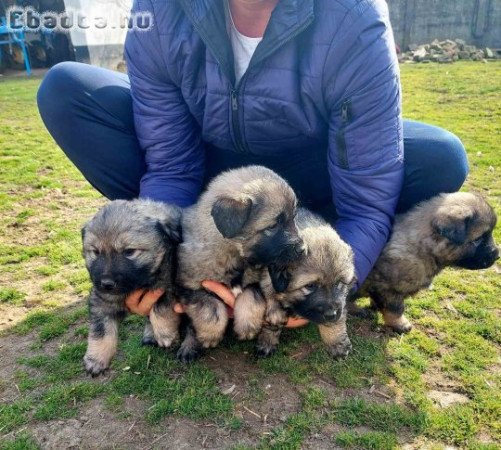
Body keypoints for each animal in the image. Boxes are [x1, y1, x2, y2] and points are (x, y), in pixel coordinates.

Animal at [82, 200, 182, 376]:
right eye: (95, 252)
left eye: (129, 251)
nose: (106, 283)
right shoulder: (101, 302)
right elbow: (100, 331)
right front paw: (96, 358)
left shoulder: (167, 284)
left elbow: (160, 307)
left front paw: (165, 332)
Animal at [168, 165, 302, 362]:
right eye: (272, 226)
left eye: (294, 218)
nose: (303, 248)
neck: (235, 256)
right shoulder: (188, 286)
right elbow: (209, 307)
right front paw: (210, 335)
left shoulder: (257, 279)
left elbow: (252, 295)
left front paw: (248, 326)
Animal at [254, 207, 356, 358]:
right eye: (310, 286)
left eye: (339, 283)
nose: (331, 314)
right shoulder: (267, 274)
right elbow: (270, 294)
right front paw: (267, 339)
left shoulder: (339, 302)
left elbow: (337, 315)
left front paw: (336, 342)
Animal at [354, 192, 498, 332]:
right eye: (478, 239)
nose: (497, 255)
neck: (423, 248)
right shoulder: (389, 289)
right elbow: (396, 309)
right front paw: (400, 324)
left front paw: (376, 307)